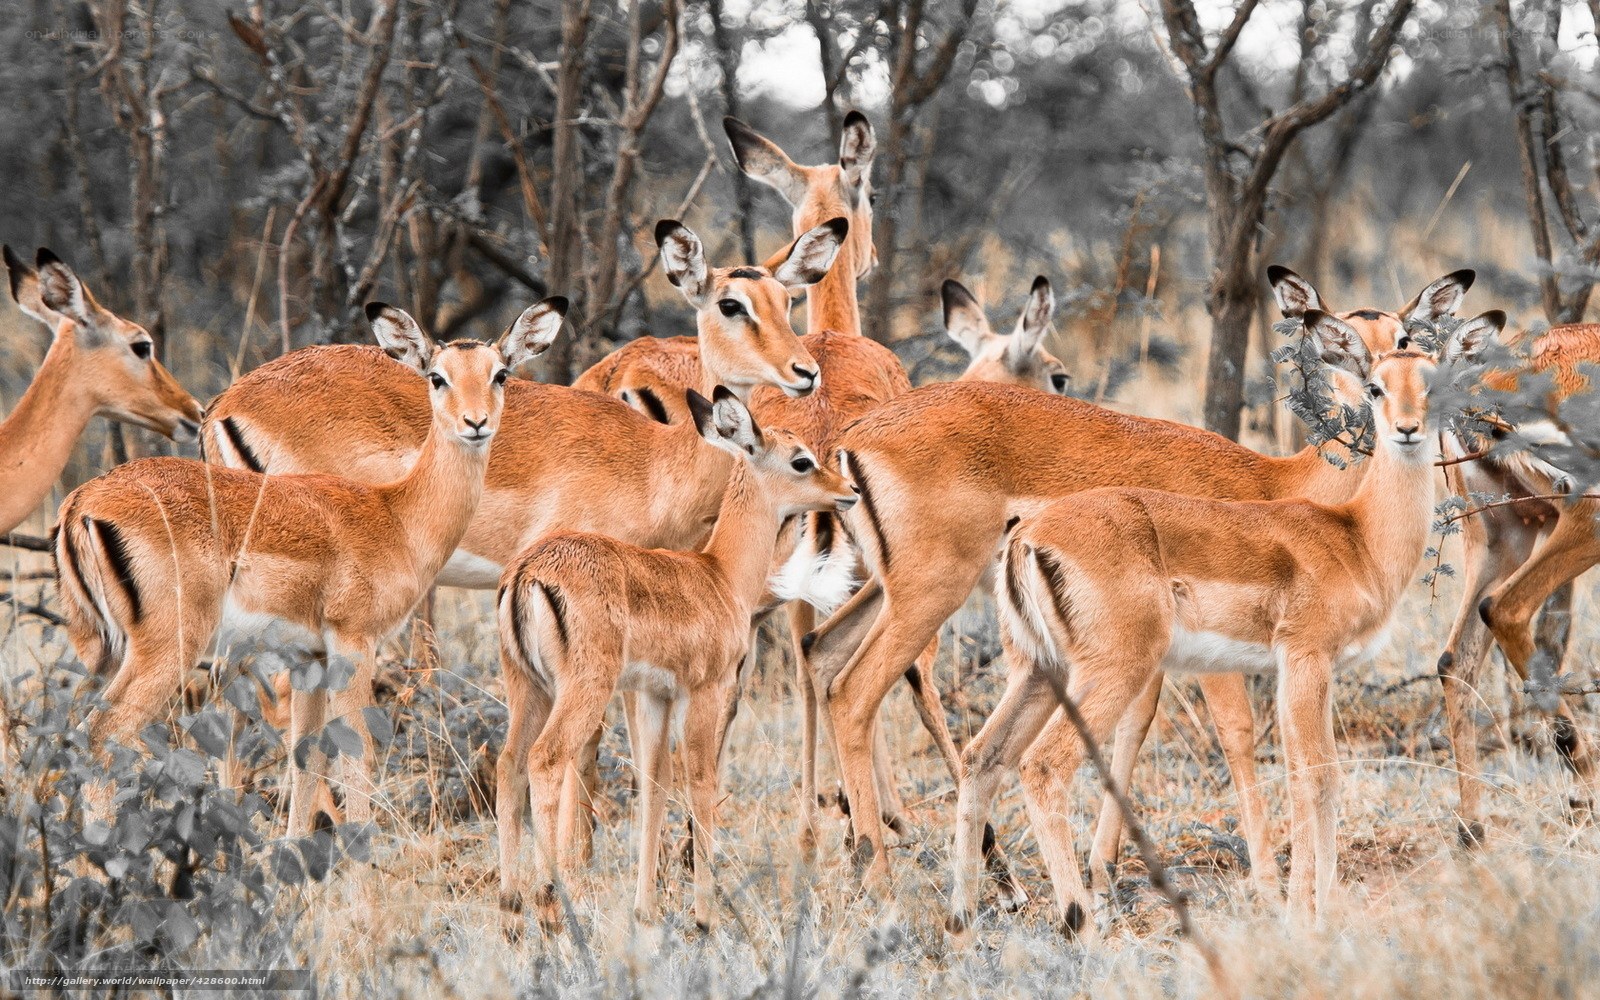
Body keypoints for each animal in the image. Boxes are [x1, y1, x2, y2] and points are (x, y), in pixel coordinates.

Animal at [55, 300, 565, 833]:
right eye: (437, 377)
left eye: (500, 374)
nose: (476, 422)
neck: (396, 515)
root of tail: (82, 501)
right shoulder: (353, 643)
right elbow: (356, 753)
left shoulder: (309, 658)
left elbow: (306, 757)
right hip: (168, 647)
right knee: (101, 734)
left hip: (101, 651)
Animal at [201, 220, 847, 845]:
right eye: (731, 304)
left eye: (787, 300)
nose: (805, 373)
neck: (657, 460)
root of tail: (224, 405)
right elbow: (591, 749)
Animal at [495, 387, 857, 932]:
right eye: (801, 461)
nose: (849, 490)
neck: (720, 574)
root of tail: (528, 571)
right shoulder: (704, 693)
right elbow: (702, 780)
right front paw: (705, 917)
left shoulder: (654, 697)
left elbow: (654, 782)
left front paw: (646, 909)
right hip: (582, 691)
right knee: (546, 759)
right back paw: (550, 904)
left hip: (529, 688)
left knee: (508, 763)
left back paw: (510, 907)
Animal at [801, 267, 1481, 889]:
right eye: (1339, 345)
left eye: (1404, 337)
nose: (1394, 418)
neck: (1280, 484)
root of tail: (853, 438)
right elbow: (1237, 735)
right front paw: (1265, 879)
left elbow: (1137, 727)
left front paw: (1104, 867)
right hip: (931, 592)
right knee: (857, 693)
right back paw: (881, 874)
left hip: (895, 591)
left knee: (823, 654)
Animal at [947, 311, 1500, 941]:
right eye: (1377, 386)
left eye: (1434, 383)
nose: (1408, 430)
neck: (1355, 536)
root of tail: (1028, 536)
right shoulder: (1306, 658)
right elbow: (1319, 778)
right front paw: (1313, 914)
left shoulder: (1299, 671)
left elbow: (1302, 773)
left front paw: (1303, 907)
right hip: (1111, 672)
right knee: (1043, 765)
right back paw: (1080, 927)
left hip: (1039, 671)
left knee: (981, 757)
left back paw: (962, 925)